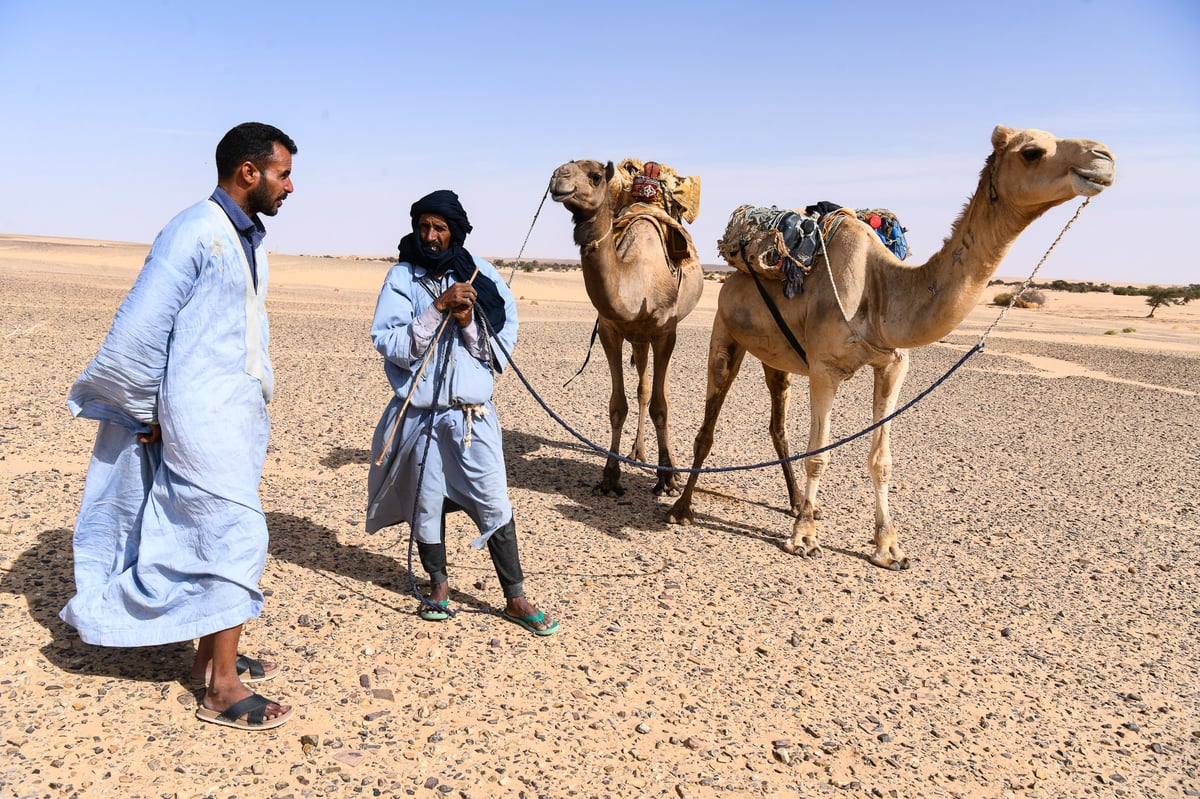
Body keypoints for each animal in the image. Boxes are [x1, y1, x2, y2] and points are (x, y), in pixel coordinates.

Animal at [549, 158, 705, 494]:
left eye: (595, 176)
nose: (557, 177)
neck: (639, 278)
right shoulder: (610, 330)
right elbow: (617, 405)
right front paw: (610, 477)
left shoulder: (664, 333)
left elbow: (662, 406)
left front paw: (666, 477)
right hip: (638, 339)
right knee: (643, 389)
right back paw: (637, 452)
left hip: (656, 335)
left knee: (658, 393)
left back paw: (667, 464)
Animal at [667, 124, 1113, 566]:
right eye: (1032, 152)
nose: (1104, 158)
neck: (880, 289)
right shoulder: (825, 369)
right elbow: (819, 453)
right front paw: (804, 537)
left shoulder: (893, 365)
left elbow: (881, 460)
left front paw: (888, 546)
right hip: (725, 333)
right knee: (708, 425)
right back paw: (682, 508)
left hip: (776, 357)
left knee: (778, 426)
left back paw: (795, 503)